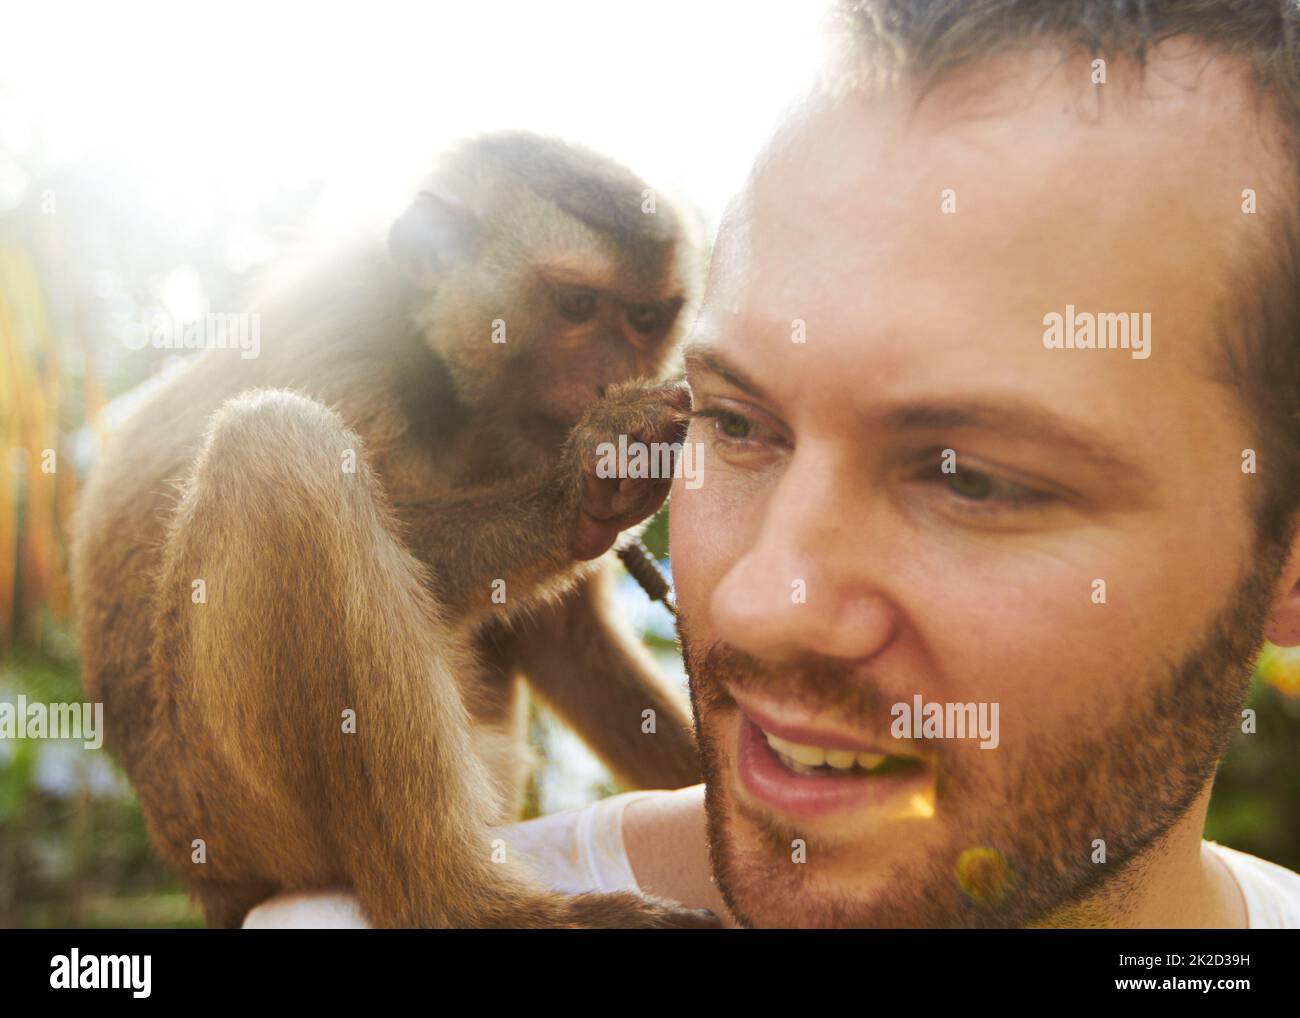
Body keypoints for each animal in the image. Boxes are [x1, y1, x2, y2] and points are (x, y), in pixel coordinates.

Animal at [71, 135, 712, 930]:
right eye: (576, 305)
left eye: (648, 318)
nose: (611, 375)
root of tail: (209, 882)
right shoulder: (350, 329)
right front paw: (578, 489)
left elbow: (565, 642)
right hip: (228, 811)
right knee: (274, 450)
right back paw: (461, 904)